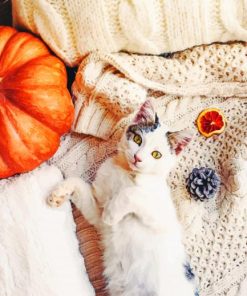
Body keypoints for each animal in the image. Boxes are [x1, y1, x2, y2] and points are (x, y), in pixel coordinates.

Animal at [48, 100, 197, 294]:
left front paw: (111, 213)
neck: (127, 172)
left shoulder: (162, 219)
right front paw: (59, 193)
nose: (138, 158)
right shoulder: (98, 213)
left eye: (156, 154)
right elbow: (80, 185)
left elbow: (131, 192)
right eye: (138, 140)